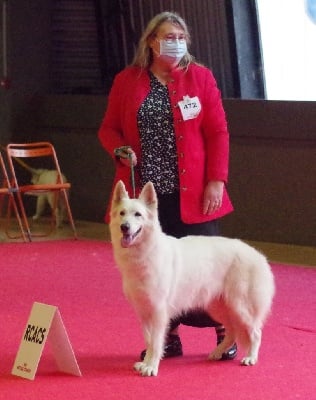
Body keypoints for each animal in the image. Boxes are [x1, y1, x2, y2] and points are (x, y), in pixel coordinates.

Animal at [110, 180, 276, 376]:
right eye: (122, 213)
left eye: (138, 215)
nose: (124, 227)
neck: (144, 254)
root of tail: (259, 256)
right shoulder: (143, 312)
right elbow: (149, 340)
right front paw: (145, 363)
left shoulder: (158, 312)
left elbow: (156, 342)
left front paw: (151, 366)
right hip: (218, 308)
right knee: (232, 331)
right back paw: (218, 352)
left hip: (240, 306)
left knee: (255, 333)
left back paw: (251, 358)